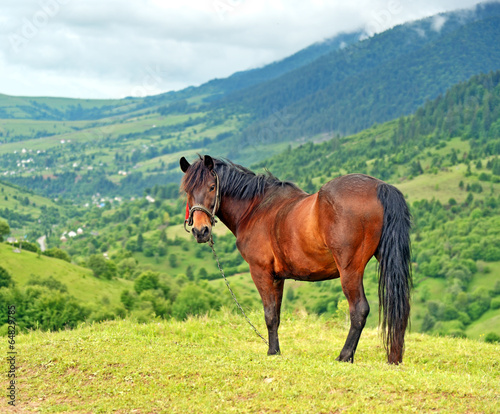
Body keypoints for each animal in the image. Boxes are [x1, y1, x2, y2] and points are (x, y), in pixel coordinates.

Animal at [179, 154, 410, 362]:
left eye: (212, 187)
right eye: (188, 191)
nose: (200, 231)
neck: (255, 209)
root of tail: (380, 186)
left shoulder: (260, 272)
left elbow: (269, 314)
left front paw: (272, 352)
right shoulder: (278, 278)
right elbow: (276, 315)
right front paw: (276, 349)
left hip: (350, 270)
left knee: (359, 309)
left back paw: (344, 356)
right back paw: (394, 357)